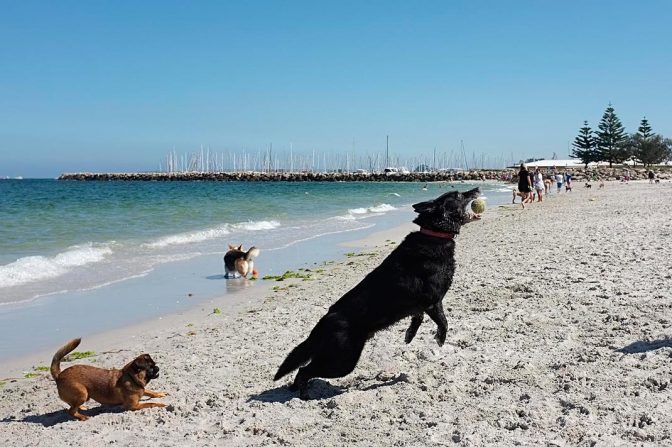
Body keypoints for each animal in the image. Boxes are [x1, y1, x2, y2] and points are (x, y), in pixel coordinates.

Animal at [274, 187, 484, 398]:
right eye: (458, 195)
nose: (477, 189)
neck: (434, 234)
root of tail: (324, 321)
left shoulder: (419, 305)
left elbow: (417, 319)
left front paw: (409, 335)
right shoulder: (433, 301)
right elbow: (443, 322)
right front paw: (440, 339)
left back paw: (296, 389)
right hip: (343, 360)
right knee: (304, 369)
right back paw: (303, 393)